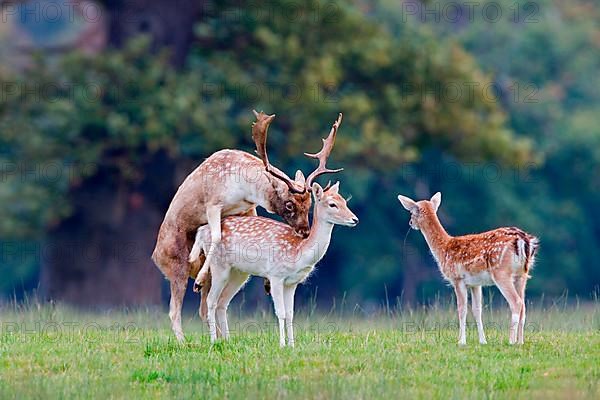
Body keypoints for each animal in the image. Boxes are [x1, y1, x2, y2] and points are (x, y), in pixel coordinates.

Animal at [152, 111, 342, 342]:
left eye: (309, 205)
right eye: (289, 204)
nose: (305, 231)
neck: (243, 187)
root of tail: (155, 256)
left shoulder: (247, 209)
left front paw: (267, 283)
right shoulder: (213, 203)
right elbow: (216, 235)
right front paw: (199, 277)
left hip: (233, 274)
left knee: (209, 307)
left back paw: (223, 337)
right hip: (176, 267)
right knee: (175, 310)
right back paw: (185, 339)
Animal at [398, 193, 540, 344]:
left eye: (412, 212)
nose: (410, 223)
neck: (444, 249)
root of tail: (524, 240)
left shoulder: (457, 278)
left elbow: (462, 309)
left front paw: (461, 341)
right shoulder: (475, 284)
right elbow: (477, 310)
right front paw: (483, 341)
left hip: (501, 272)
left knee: (516, 302)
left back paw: (511, 341)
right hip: (522, 274)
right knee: (523, 305)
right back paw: (520, 342)